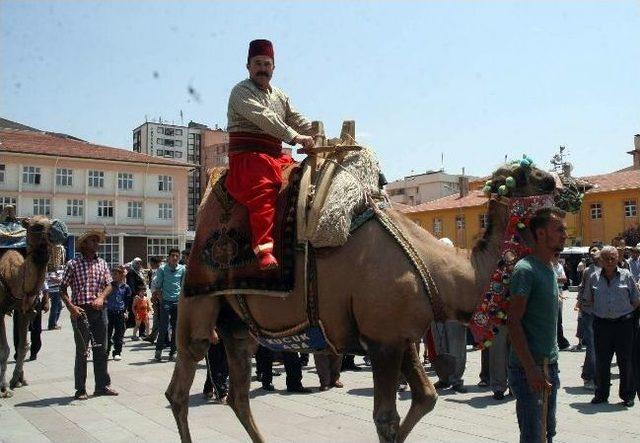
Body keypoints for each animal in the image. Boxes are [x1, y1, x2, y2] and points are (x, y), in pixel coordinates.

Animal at [0, 213, 66, 398]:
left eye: (50, 221)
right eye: (37, 226)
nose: (61, 230)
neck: (12, 274)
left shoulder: (25, 309)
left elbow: (23, 345)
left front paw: (18, 379)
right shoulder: (0, 309)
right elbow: (4, 349)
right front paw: (4, 388)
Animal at [168, 161, 556, 442]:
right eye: (528, 176)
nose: (559, 181)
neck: (438, 269)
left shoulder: (400, 336)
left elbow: (426, 397)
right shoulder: (384, 340)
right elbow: (385, 418)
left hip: (236, 325)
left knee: (238, 395)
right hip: (198, 303)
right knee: (180, 388)